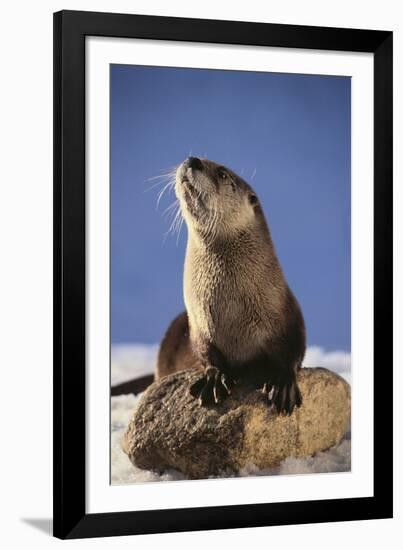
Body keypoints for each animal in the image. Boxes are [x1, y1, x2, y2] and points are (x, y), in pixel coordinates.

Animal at [158, 157, 306, 416]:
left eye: (223, 173)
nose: (192, 160)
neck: (233, 310)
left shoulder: (288, 312)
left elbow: (294, 349)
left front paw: (283, 384)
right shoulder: (198, 324)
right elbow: (205, 353)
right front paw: (215, 378)